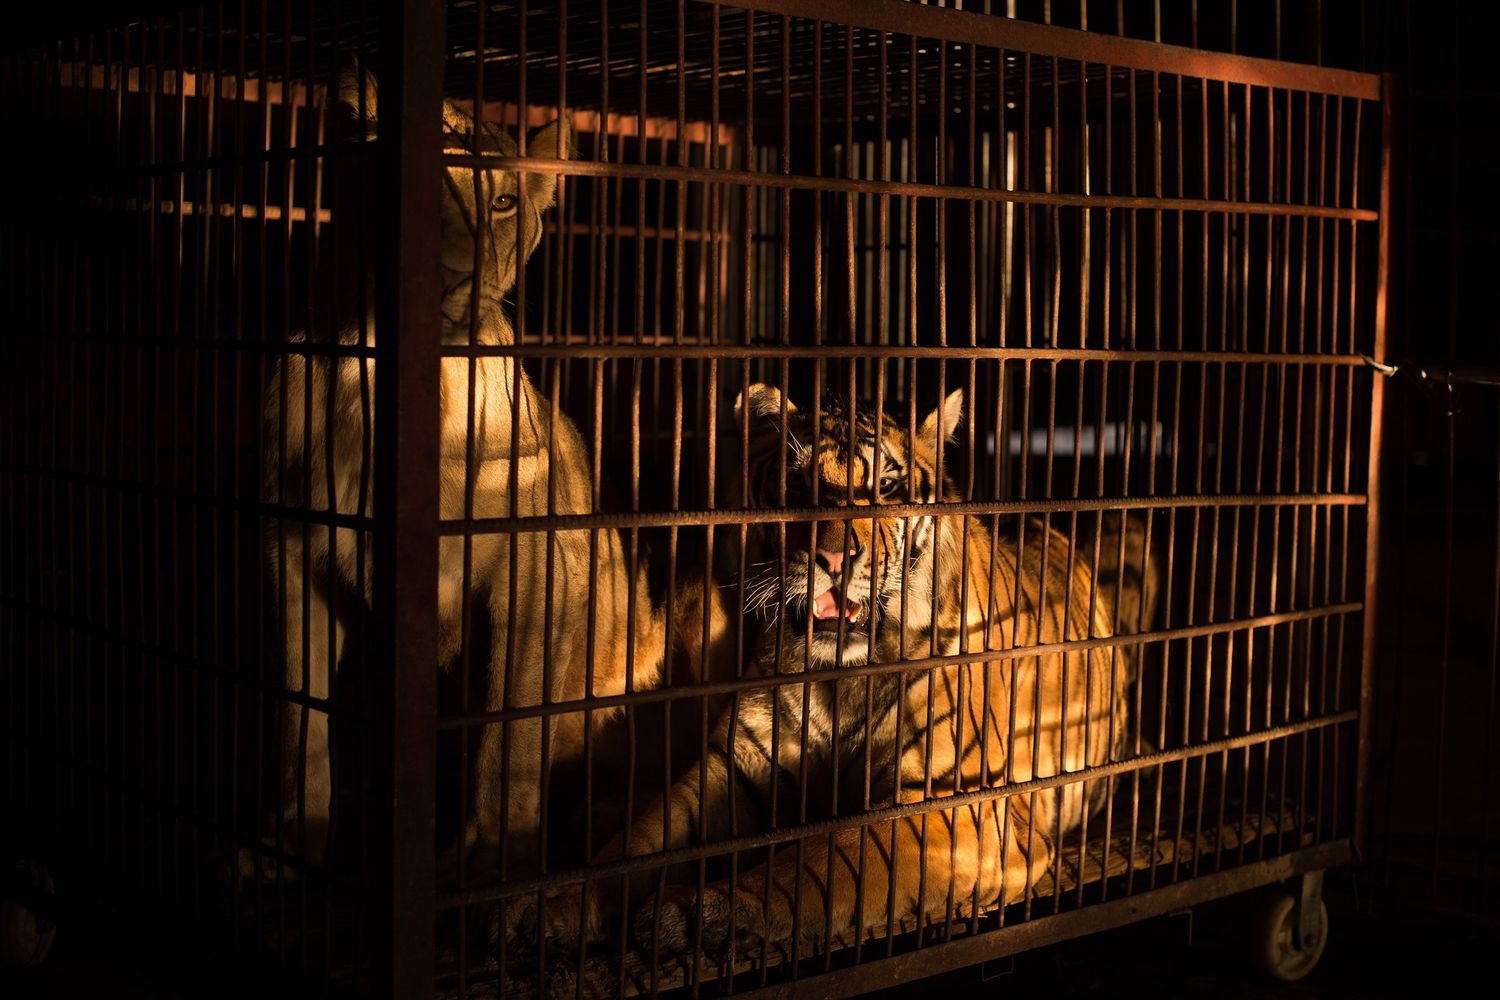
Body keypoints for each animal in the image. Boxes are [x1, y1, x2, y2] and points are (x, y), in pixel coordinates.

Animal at [254, 63, 667, 895]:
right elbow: (299, 717)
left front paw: (486, 865)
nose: (451, 276)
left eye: (503, 203)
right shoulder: (294, 550)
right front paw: (294, 844)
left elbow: (507, 737)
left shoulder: (533, 569)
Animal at [533, 382, 1160, 956]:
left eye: (885, 486)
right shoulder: (732, 765)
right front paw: (558, 905)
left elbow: (823, 858)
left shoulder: (954, 802)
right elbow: (644, 840)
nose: (835, 558)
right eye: (797, 483)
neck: (835, 676)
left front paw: (702, 909)